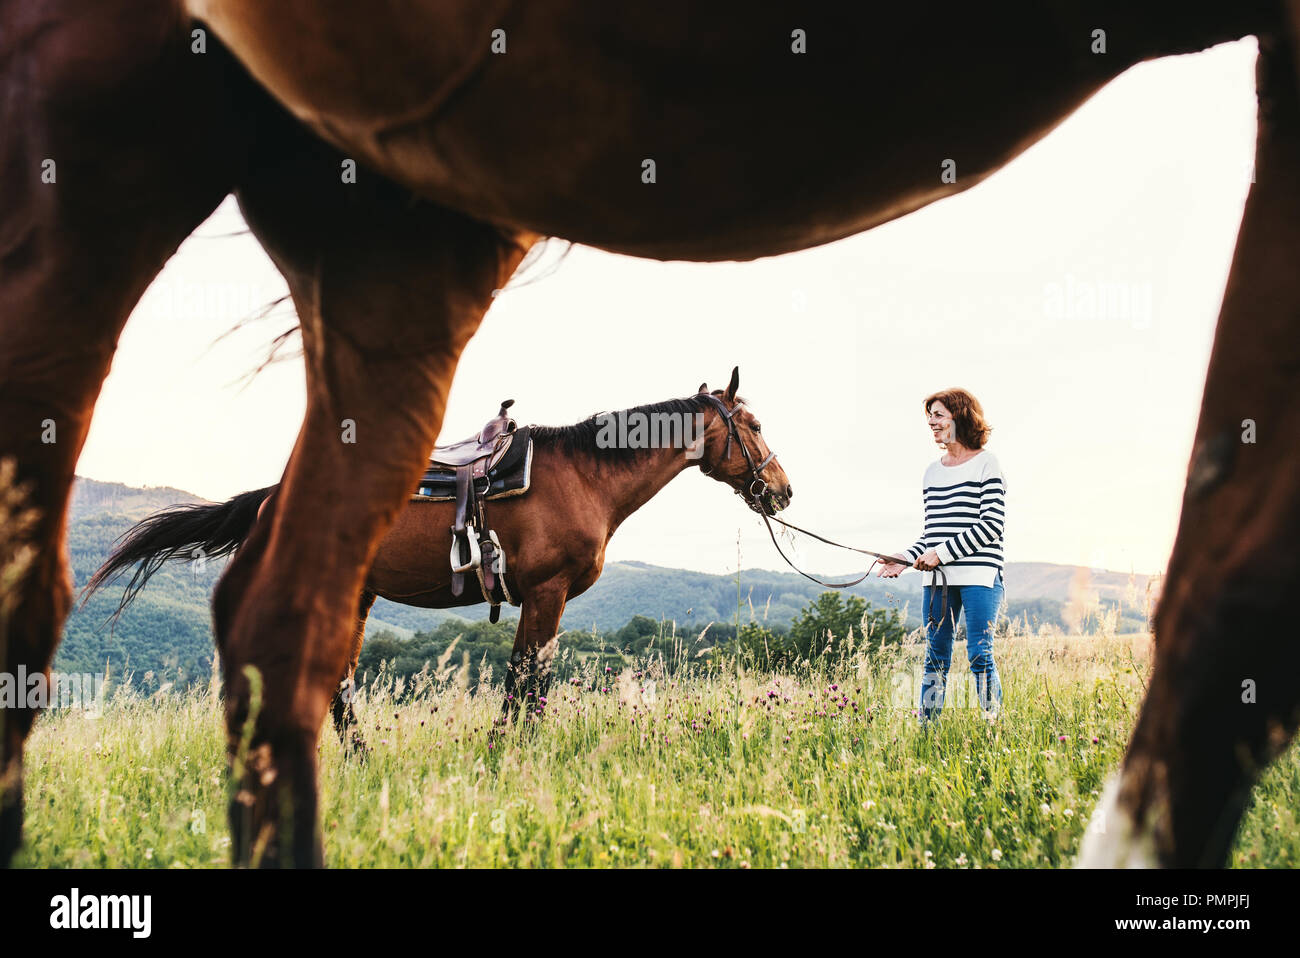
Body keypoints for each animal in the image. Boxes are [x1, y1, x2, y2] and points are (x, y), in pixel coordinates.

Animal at [83, 369, 790, 738]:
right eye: (754, 426)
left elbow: (526, 677)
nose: (782, 491)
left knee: (336, 683)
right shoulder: (547, 592)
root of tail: (271, 499)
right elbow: (526, 680)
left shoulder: (537, 598)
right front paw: (509, 752)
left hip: (357, 598)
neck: (584, 477)